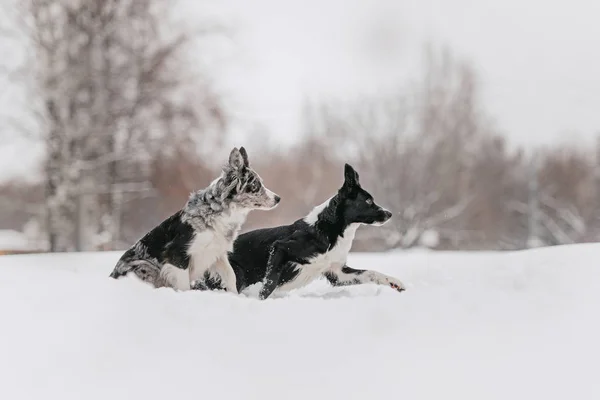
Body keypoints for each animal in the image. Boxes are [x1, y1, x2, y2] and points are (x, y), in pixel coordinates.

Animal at [109, 148, 280, 292]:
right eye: (256, 185)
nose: (278, 198)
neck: (217, 212)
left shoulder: (217, 253)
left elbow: (231, 276)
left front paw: (235, 296)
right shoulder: (178, 254)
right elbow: (184, 286)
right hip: (144, 265)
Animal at [227, 163, 406, 300]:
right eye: (368, 201)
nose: (389, 214)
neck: (327, 231)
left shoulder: (337, 273)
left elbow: (371, 273)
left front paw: (394, 282)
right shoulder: (280, 247)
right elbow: (269, 284)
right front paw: (260, 300)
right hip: (236, 272)